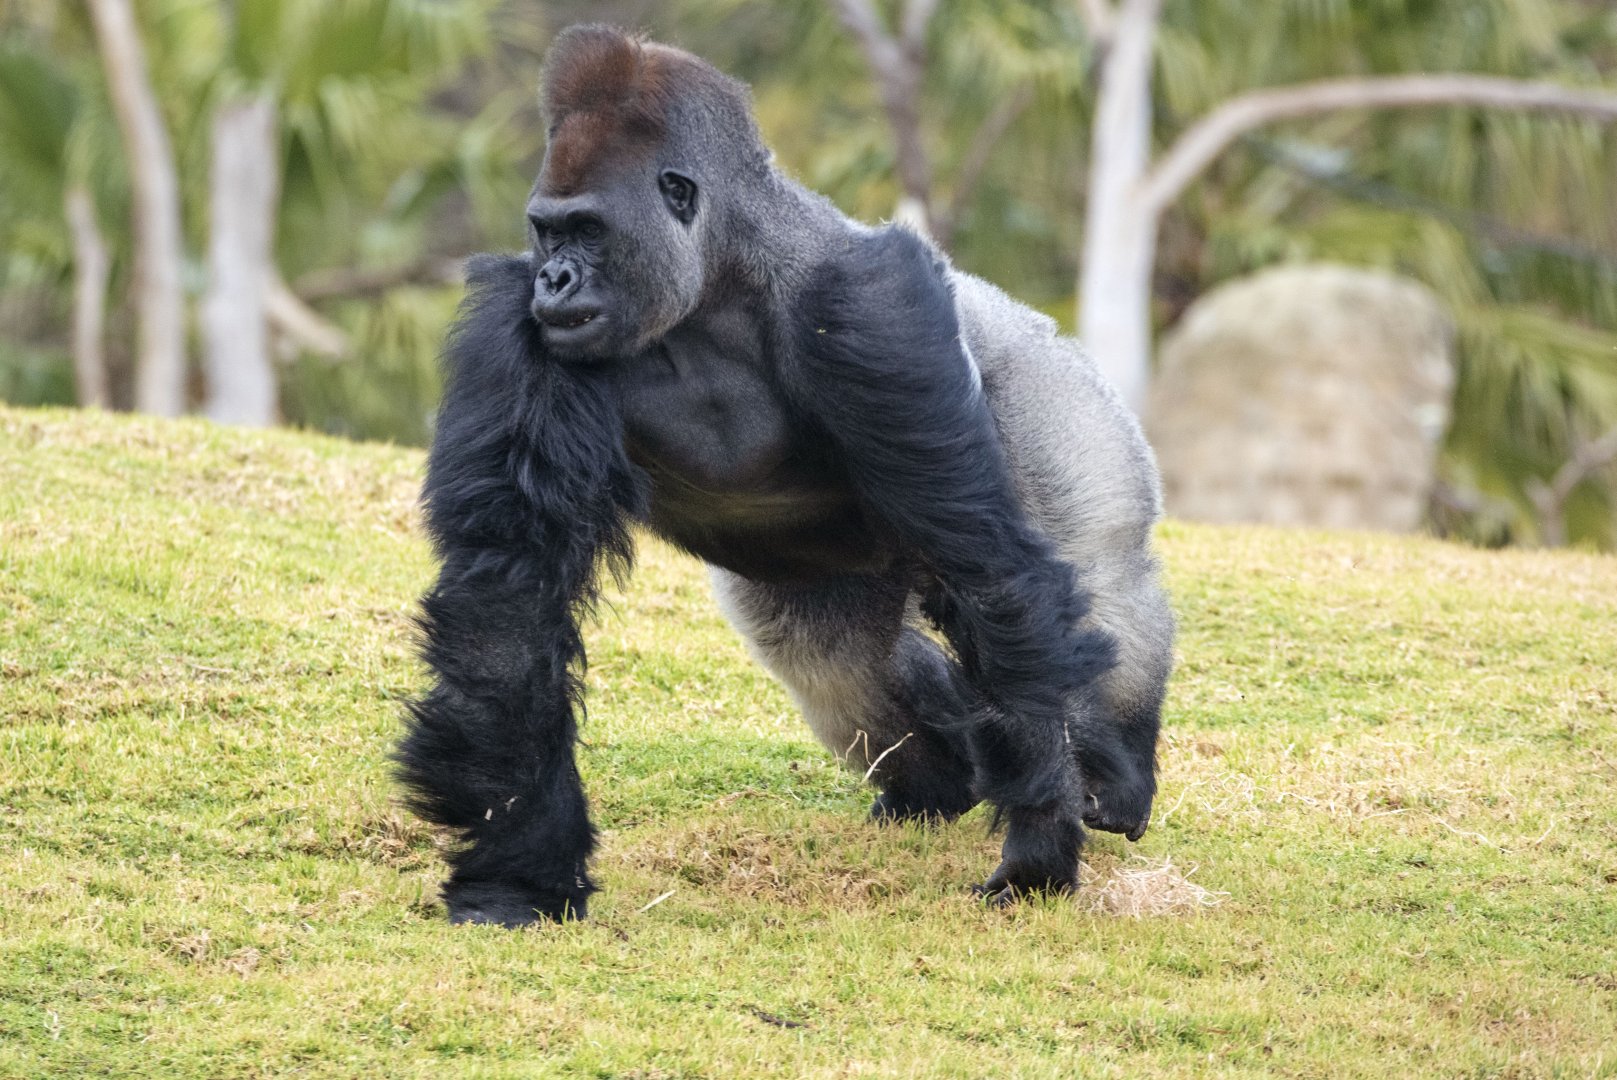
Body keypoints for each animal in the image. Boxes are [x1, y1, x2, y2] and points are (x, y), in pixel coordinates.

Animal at [396, 25, 1174, 926]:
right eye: (547, 235)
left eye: (587, 231)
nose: (555, 279)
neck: (720, 277)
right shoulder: (516, 323)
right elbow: (508, 597)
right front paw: (518, 870)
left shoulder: (869, 308)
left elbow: (985, 565)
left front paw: (1039, 848)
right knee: (832, 659)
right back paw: (939, 782)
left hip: (1062, 393)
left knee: (1089, 571)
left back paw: (1113, 770)